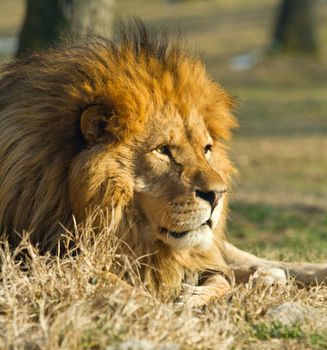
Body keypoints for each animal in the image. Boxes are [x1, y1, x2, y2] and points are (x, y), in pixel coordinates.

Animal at [0, 21, 326, 306]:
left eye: (206, 149)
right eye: (163, 151)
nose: (218, 196)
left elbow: (217, 277)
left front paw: (194, 295)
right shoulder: (28, 257)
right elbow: (107, 280)